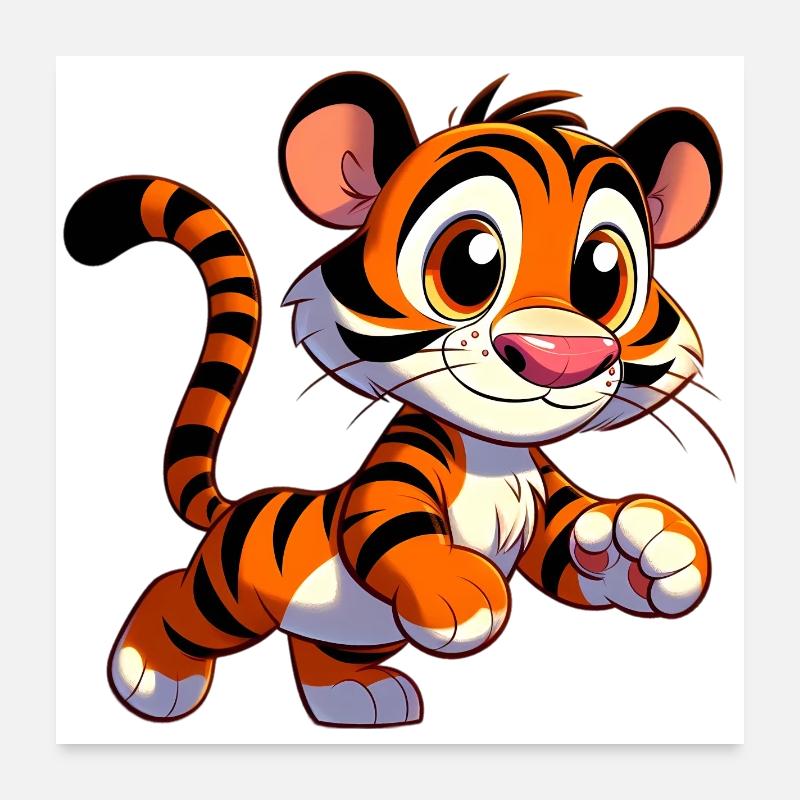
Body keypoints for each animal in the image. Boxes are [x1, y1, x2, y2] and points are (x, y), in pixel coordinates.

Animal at [63, 71, 722, 728]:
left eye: (603, 272)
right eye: (469, 261)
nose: (560, 357)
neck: (495, 456)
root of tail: (237, 506)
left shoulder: (544, 496)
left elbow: (574, 544)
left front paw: (653, 548)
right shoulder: (402, 466)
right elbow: (388, 523)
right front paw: (458, 590)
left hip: (347, 632)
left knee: (317, 651)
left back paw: (359, 697)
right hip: (229, 594)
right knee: (175, 596)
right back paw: (149, 676)